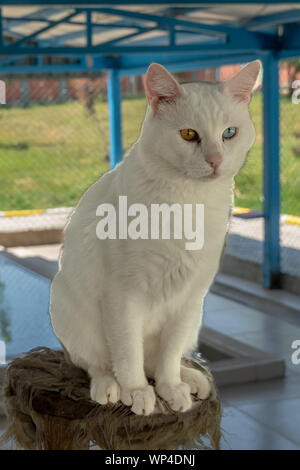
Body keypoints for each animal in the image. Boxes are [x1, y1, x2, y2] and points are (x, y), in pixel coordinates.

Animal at [49, 60, 260, 416]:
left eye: (229, 133)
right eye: (189, 134)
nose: (215, 161)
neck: (189, 201)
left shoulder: (189, 297)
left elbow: (168, 355)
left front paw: (170, 387)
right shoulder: (123, 295)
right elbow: (127, 352)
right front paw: (136, 391)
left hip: (195, 318)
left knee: (157, 357)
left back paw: (190, 379)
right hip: (67, 307)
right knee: (97, 363)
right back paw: (109, 386)